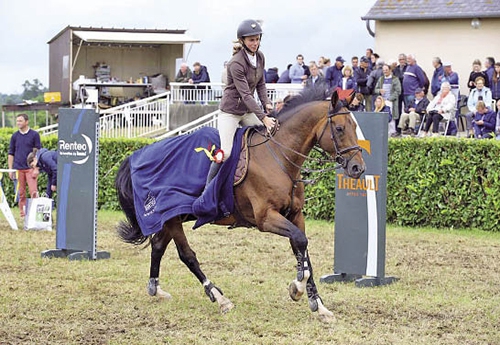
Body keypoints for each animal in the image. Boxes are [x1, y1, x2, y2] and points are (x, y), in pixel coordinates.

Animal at [115, 86, 366, 322]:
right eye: (340, 129)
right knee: (187, 255)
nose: (358, 168)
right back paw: (219, 298)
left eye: (355, 127)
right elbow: (301, 245)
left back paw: (156, 289)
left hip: (171, 217)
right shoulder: (266, 218)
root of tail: (138, 155)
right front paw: (297, 287)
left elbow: (303, 252)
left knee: (158, 246)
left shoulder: (295, 215)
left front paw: (318, 305)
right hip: (171, 217)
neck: (279, 155)